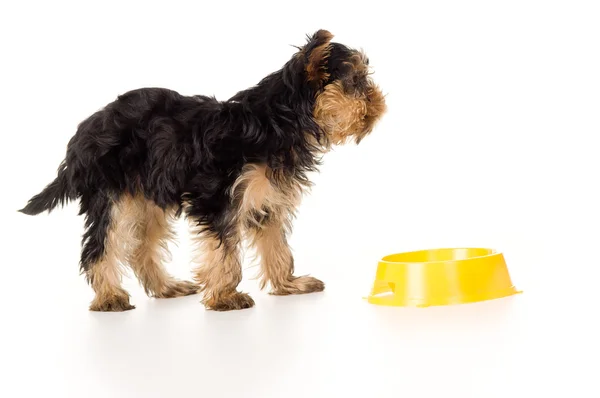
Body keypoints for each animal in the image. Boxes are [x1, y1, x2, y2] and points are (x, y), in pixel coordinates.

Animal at [19, 29, 390, 312]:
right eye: (356, 81)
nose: (379, 102)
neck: (276, 121)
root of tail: (85, 130)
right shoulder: (219, 198)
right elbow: (225, 250)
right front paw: (226, 296)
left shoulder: (267, 200)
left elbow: (277, 246)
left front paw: (288, 283)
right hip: (110, 194)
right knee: (100, 246)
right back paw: (110, 297)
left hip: (148, 194)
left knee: (141, 246)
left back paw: (166, 287)